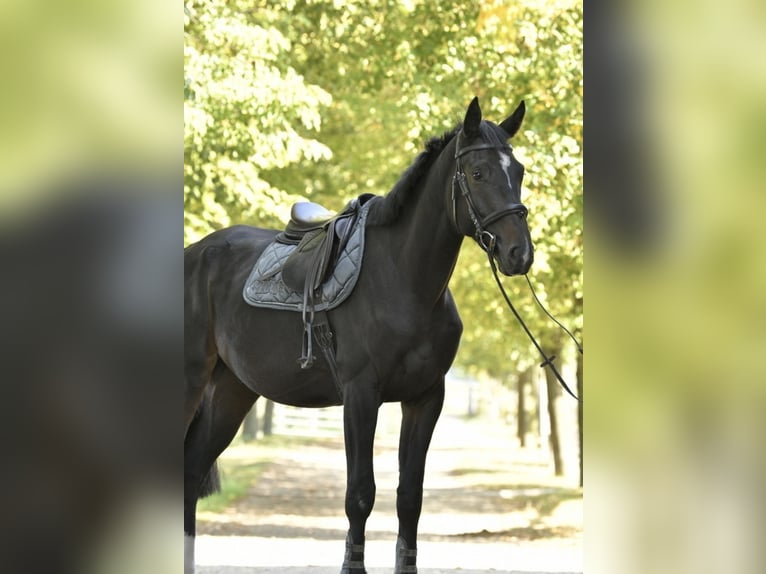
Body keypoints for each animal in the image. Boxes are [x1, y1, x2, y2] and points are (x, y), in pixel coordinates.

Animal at [185, 97, 536, 572]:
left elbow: (409, 498)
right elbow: (360, 495)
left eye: (518, 171)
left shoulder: (426, 398)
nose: (520, 254)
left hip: (232, 390)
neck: (403, 280)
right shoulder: (360, 395)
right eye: (478, 173)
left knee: (190, 472)